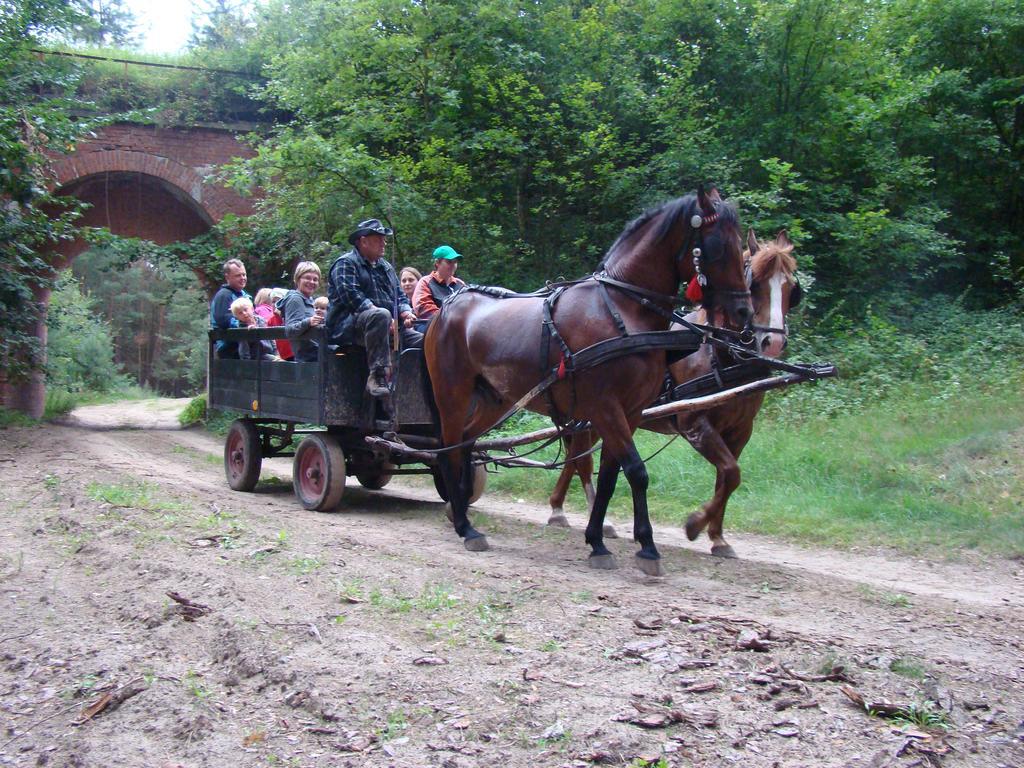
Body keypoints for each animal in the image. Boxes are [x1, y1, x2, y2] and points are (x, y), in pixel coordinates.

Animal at [423, 189, 753, 573]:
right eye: (718, 247)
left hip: (495, 397)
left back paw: (459, 510)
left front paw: (597, 541)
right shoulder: (605, 407)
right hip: (452, 392)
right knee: (449, 449)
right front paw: (648, 548)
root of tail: (449, 306)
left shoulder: (631, 412)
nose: (743, 313)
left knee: (465, 442)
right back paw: (465, 527)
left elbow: (610, 476)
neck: (622, 309)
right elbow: (636, 472)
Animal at [544, 228, 798, 561]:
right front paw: (694, 524)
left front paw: (717, 537)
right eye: (754, 282)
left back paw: (560, 508)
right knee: (581, 459)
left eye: (791, 287)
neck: (717, 352)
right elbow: (731, 472)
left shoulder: (741, 430)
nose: (773, 343)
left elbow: (727, 478)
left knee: (575, 456)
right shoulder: (694, 423)